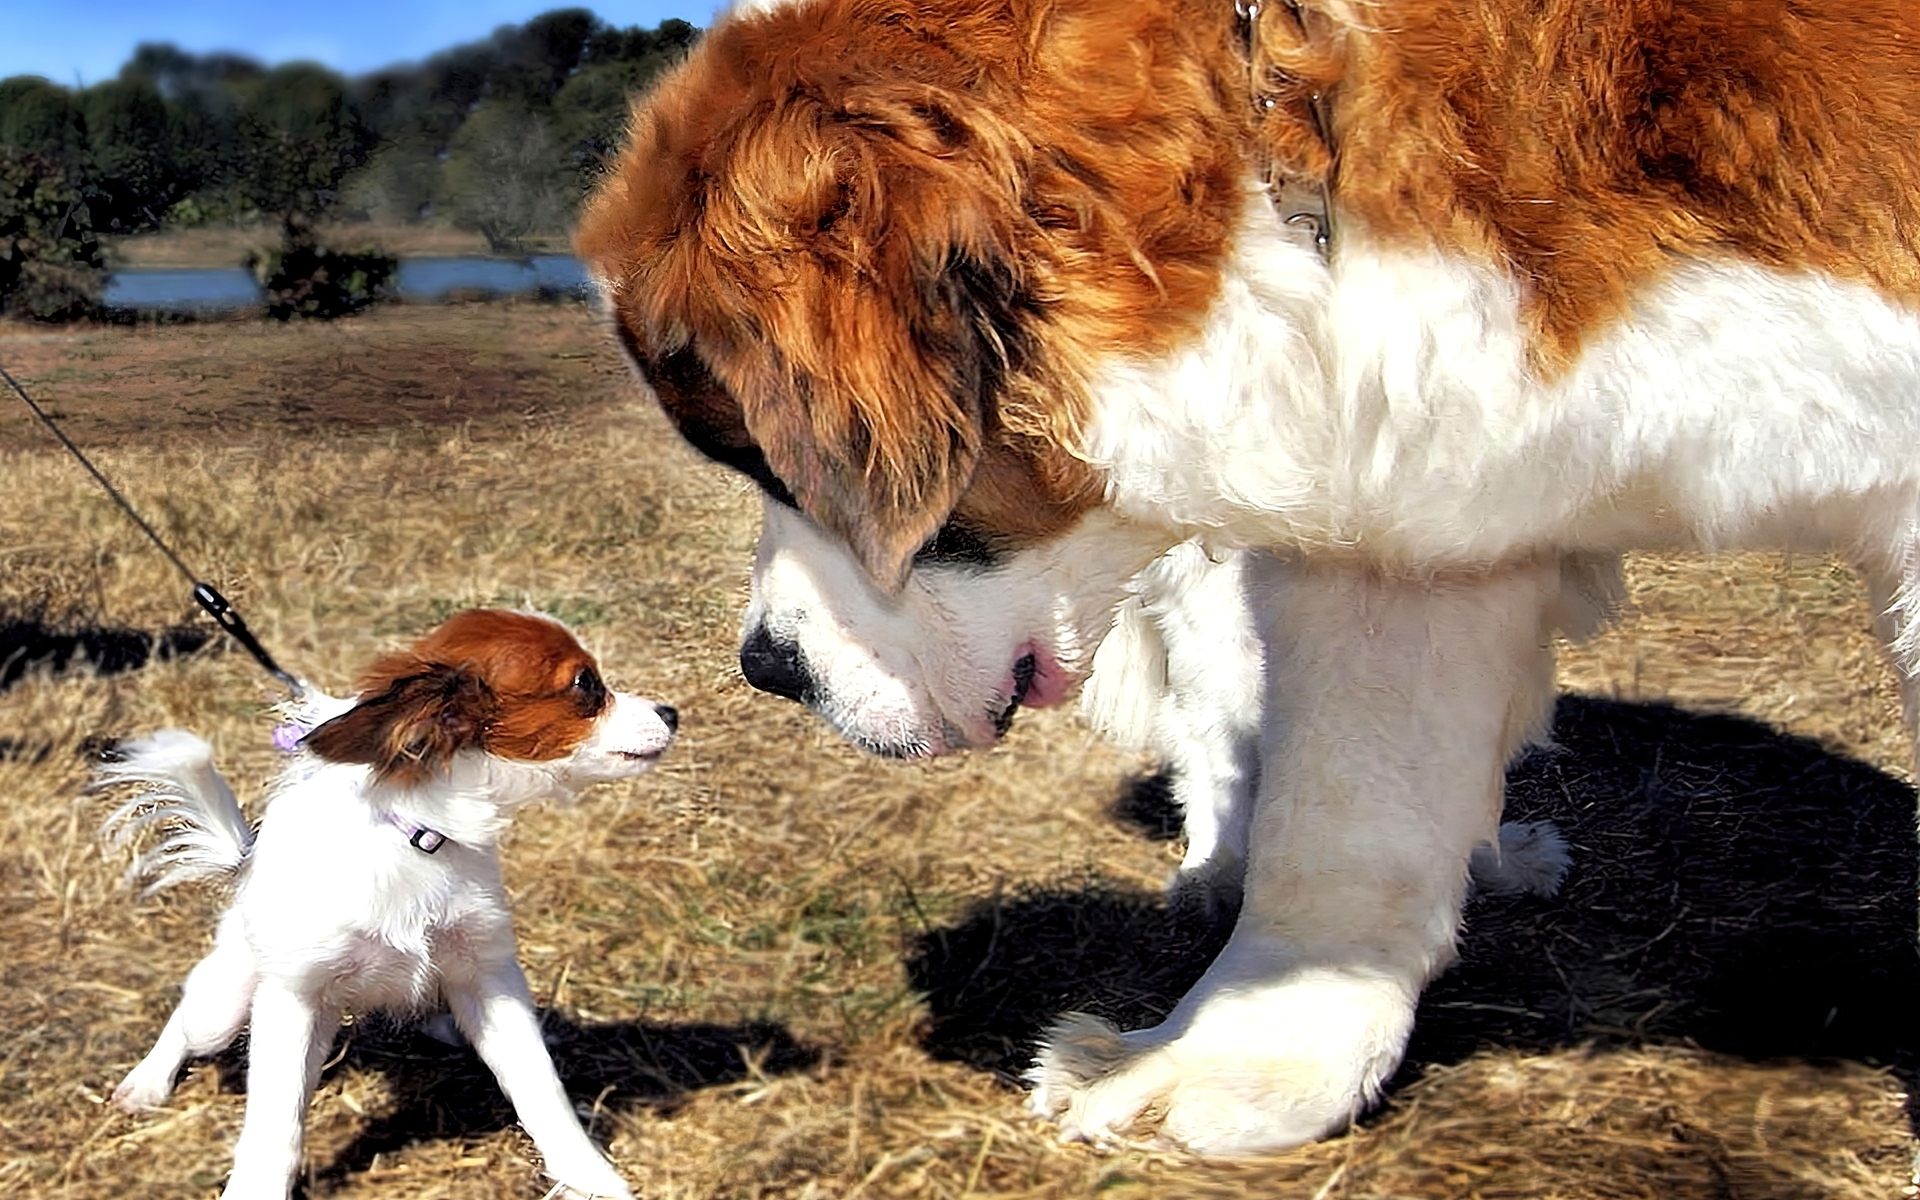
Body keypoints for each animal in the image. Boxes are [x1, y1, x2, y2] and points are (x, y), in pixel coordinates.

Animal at [103, 614, 683, 1190]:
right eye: (586, 685)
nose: (671, 713)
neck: (420, 836)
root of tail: (245, 859)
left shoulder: (489, 977)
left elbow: (542, 1091)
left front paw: (592, 1178)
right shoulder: (293, 997)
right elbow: (276, 1123)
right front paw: (257, 1190)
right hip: (224, 1004)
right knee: (188, 1017)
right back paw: (147, 1081)